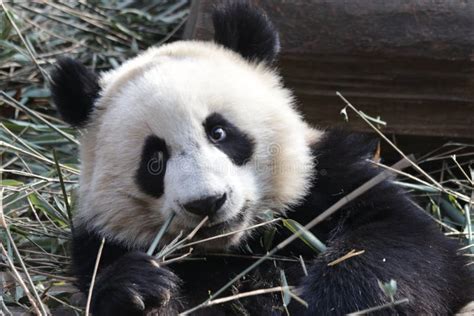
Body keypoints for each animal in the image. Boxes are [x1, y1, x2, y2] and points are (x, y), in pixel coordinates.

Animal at [50, 1, 472, 314]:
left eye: (219, 133)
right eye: (154, 163)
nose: (207, 202)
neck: (242, 247)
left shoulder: (332, 179)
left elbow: (397, 249)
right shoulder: (102, 244)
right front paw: (140, 289)